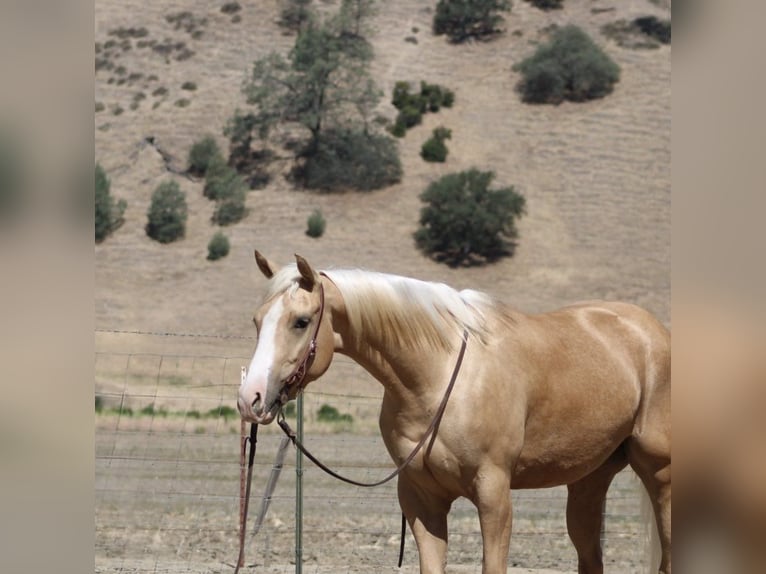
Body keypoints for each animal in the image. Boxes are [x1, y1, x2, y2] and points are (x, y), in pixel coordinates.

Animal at [237, 251, 671, 574]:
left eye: (301, 321)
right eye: (257, 320)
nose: (250, 398)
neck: (438, 375)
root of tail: (654, 332)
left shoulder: (494, 494)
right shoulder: (421, 498)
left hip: (659, 474)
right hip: (588, 482)